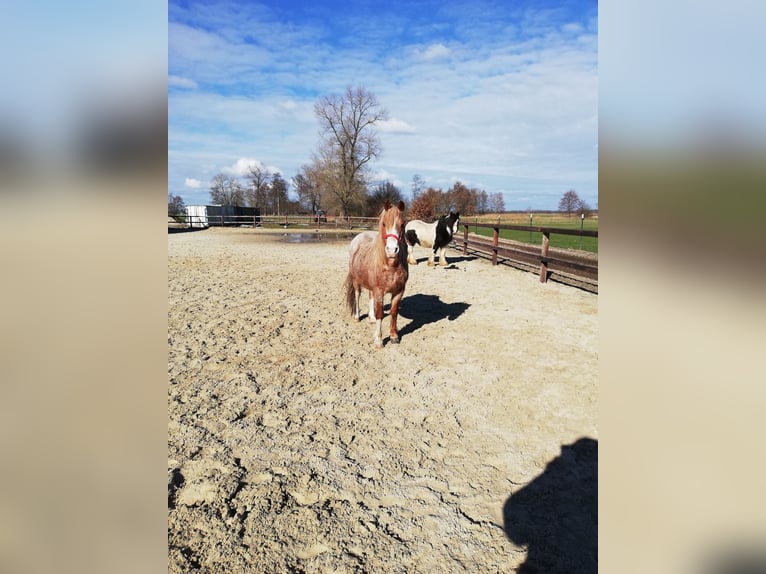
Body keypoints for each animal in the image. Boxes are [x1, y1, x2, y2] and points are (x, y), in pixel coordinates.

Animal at [346, 200, 412, 348]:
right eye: (383, 224)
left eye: (402, 224)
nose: (392, 250)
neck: (391, 266)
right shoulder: (379, 291)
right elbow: (380, 314)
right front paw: (379, 340)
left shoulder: (399, 291)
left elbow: (393, 312)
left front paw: (394, 336)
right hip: (356, 281)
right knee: (358, 296)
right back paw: (357, 317)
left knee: (370, 297)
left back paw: (371, 318)